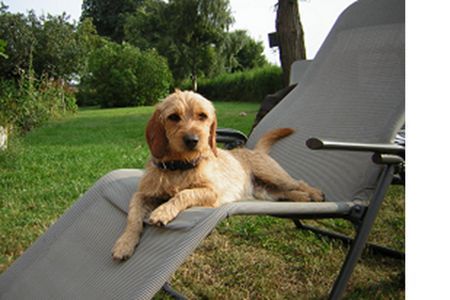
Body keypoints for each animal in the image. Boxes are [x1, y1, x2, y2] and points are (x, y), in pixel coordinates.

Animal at [112, 90, 324, 262]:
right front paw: (124, 243)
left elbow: (184, 193)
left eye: (202, 116)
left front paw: (163, 211)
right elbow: (133, 215)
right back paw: (303, 198)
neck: (180, 166)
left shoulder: (212, 192)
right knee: (284, 193)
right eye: (173, 117)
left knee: (297, 182)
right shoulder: (142, 194)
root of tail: (255, 150)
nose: (192, 140)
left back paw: (314, 193)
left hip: (273, 175)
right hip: (265, 191)